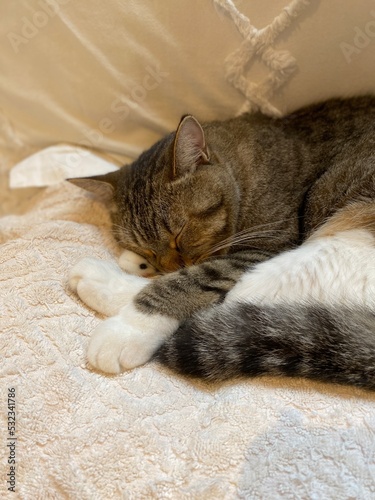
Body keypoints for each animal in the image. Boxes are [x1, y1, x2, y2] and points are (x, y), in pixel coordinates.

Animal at [69, 95, 375, 388]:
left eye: (179, 233)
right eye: (145, 246)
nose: (168, 266)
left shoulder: (267, 245)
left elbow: (189, 281)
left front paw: (129, 328)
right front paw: (137, 261)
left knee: (244, 297)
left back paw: (103, 284)